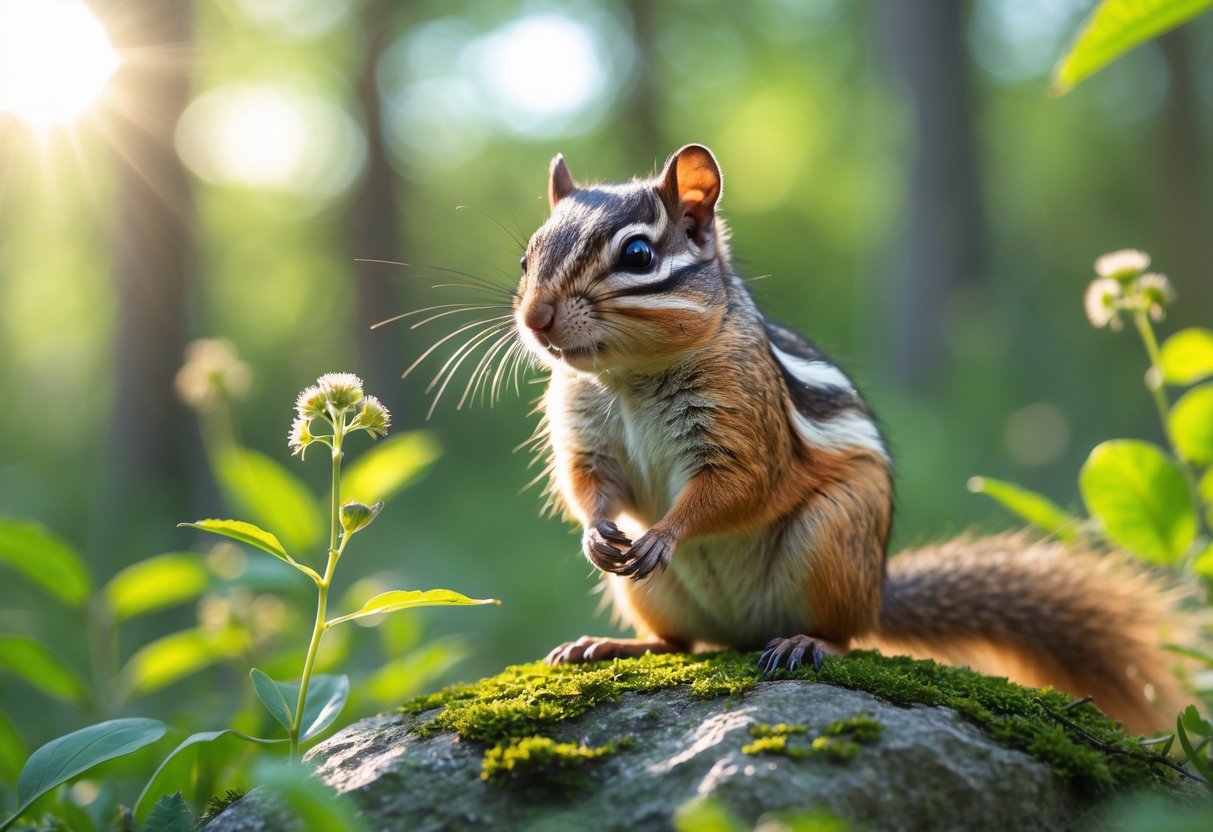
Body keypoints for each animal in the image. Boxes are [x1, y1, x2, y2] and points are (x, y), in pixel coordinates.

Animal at [509, 143, 1182, 733]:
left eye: (639, 254)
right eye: (526, 259)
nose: (535, 317)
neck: (631, 378)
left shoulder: (745, 425)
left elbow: (737, 486)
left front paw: (664, 533)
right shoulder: (585, 433)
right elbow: (587, 484)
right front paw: (597, 533)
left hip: (832, 535)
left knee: (846, 635)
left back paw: (806, 643)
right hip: (652, 595)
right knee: (677, 641)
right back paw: (610, 645)